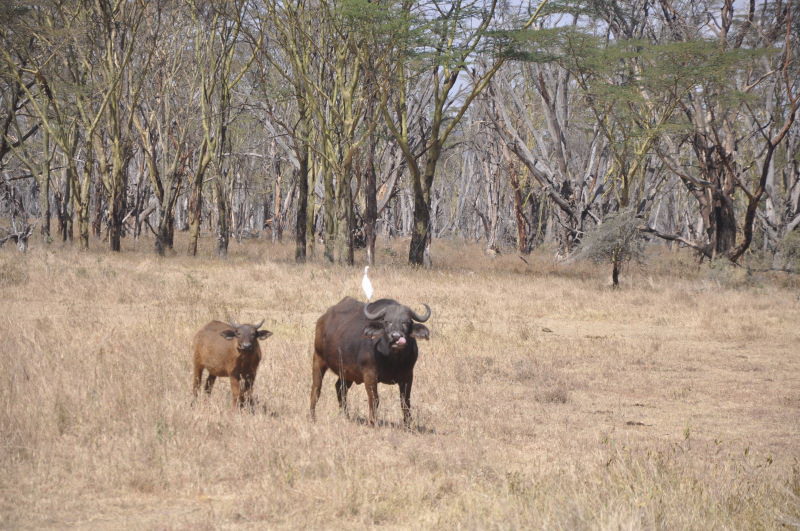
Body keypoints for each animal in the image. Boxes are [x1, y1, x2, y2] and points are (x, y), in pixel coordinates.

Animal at [310, 298, 432, 426]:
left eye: (406, 322)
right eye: (387, 321)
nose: (396, 336)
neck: (392, 359)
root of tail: (322, 319)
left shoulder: (408, 376)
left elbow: (405, 402)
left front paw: (408, 424)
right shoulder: (370, 374)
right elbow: (374, 399)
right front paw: (373, 422)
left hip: (347, 373)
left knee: (340, 388)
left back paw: (346, 416)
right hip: (318, 359)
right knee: (316, 389)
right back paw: (313, 417)